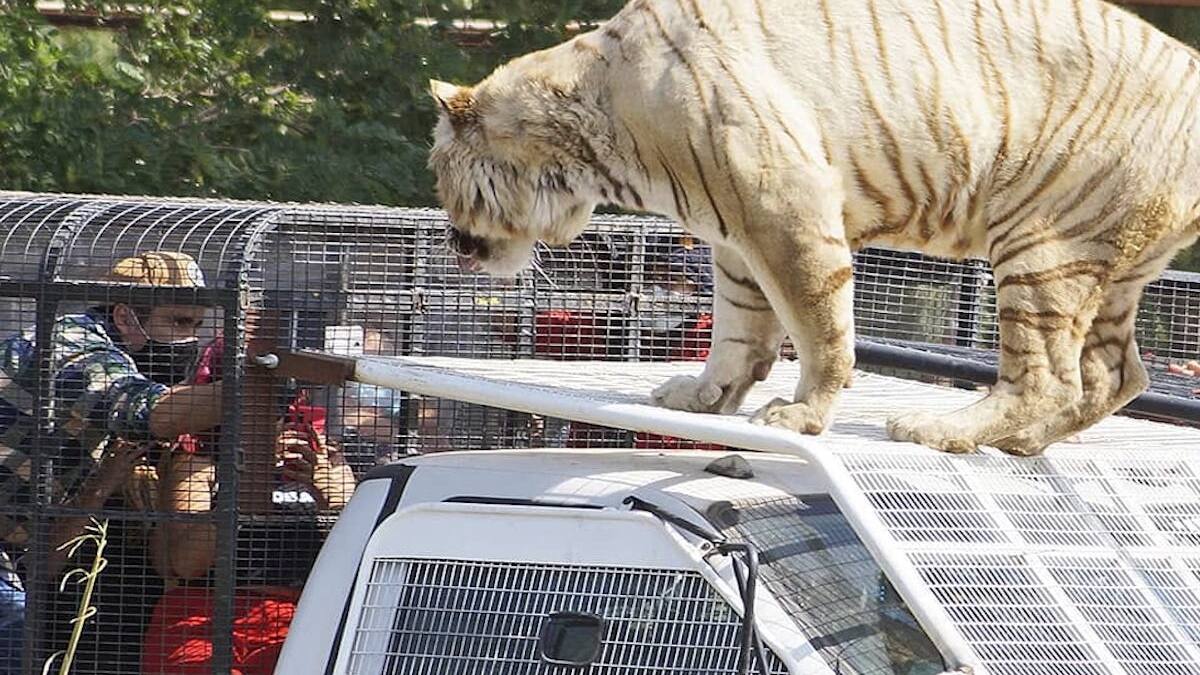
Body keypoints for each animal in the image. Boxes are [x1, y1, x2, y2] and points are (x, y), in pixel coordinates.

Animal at [426, 0, 1200, 456]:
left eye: (438, 170)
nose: (454, 242)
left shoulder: (786, 208)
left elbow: (818, 324)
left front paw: (798, 417)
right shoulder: (734, 237)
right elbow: (738, 329)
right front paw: (704, 396)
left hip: (1042, 242)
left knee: (1049, 376)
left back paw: (939, 429)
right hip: (1107, 263)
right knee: (1116, 372)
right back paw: (1021, 443)